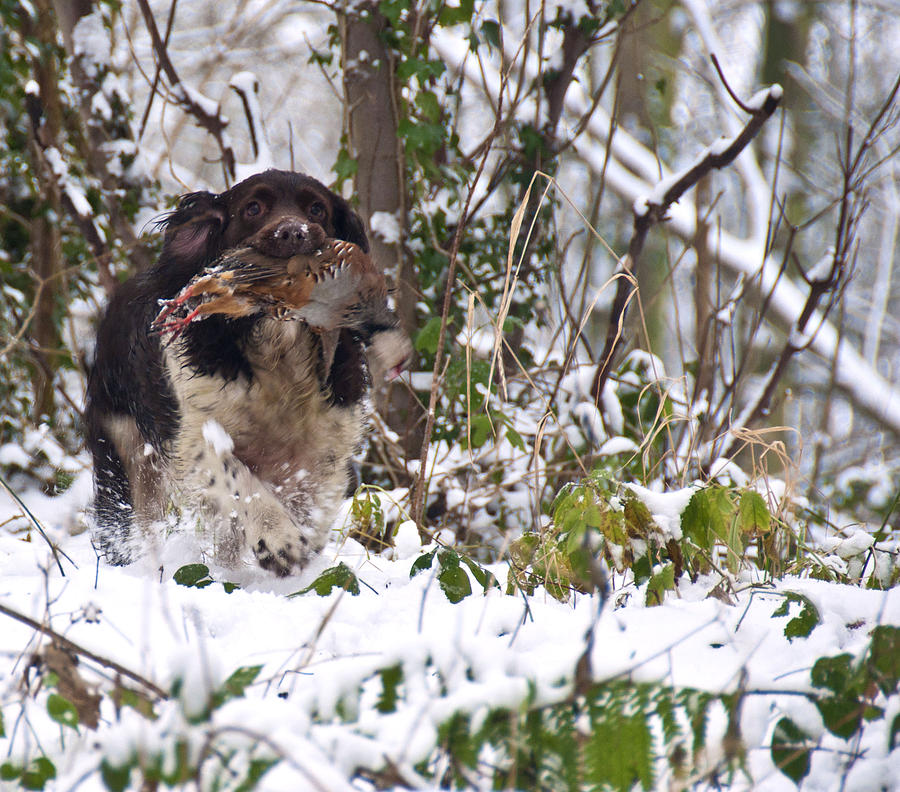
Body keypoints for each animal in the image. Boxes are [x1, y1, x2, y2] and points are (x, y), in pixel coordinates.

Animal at [84, 169, 408, 576]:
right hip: (124, 454)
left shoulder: (327, 440)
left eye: (317, 208)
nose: (294, 233)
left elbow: (317, 500)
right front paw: (279, 539)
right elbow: (235, 475)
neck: (278, 344)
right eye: (253, 208)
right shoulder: (193, 433)